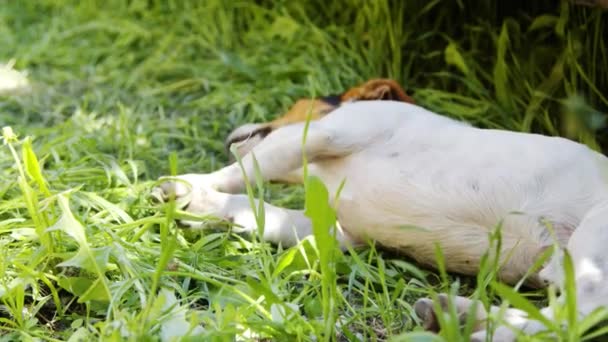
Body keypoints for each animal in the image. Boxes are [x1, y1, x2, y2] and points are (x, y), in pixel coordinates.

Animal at [156, 79, 608, 340]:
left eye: (297, 102)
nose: (230, 133)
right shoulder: (339, 232)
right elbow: (256, 209)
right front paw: (204, 204)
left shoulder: (328, 131)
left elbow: (245, 170)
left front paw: (190, 186)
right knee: (560, 320)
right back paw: (455, 315)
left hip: (591, 251)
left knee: (571, 318)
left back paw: (465, 323)